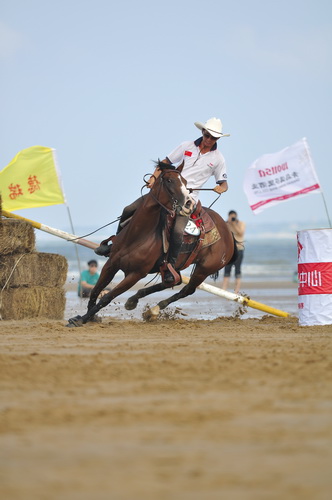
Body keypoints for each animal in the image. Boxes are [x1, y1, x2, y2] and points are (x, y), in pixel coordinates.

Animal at [67, 163, 233, 328]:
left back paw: (154, 309)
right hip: (179, 267)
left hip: (203, 270)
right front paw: (90, 317)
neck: (138, 235)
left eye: (185, 182)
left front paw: (82, 319)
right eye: (169, 180)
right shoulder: (111, 264)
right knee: (172, 281)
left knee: (187, 289)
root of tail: (228, 232)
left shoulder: (135, 274)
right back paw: (134, 300)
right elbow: (96, 290)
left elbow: (107, 297)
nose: (189, 204)